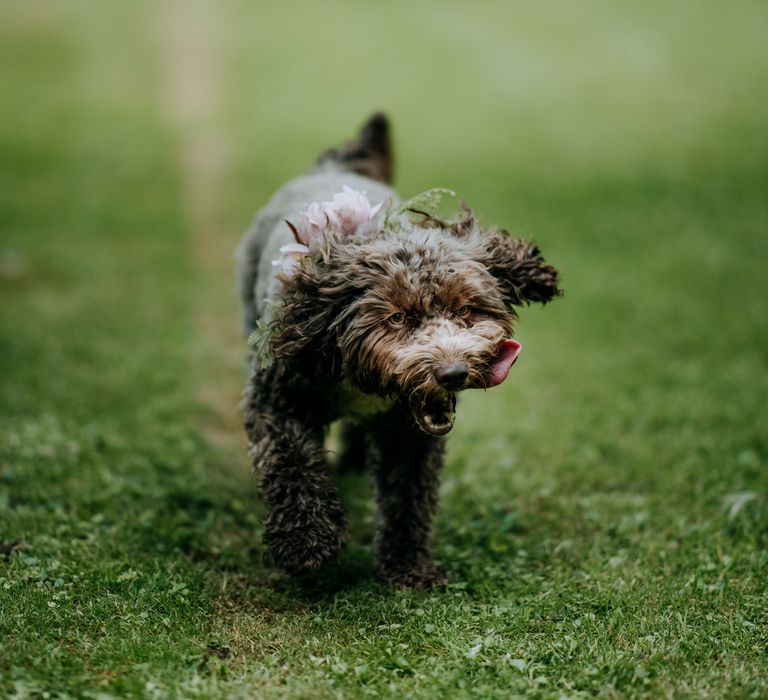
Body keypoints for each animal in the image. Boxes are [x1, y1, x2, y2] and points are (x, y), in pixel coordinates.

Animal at [237, 113, 560, 584]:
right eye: (396, 318)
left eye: (466, 309)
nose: (453, 374)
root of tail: (332, 168)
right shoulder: (278, 399)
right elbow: (290, 464)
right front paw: (305, 542)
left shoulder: (408, 432)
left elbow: (407, 496)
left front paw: (408, 567)